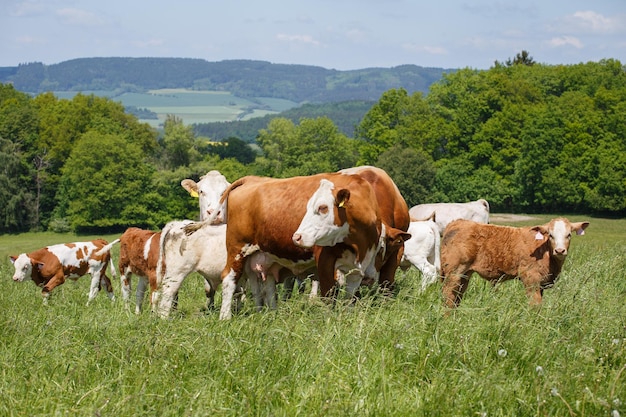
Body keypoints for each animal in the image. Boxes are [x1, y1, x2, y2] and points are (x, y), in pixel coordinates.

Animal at [436, 218, 588, 308]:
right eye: (550, 235)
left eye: (569, 235)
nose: (560, 250)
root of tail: (457, 222)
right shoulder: (531, 279)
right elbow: (535, 304)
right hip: (454, 272)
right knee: (448, 295)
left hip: (465, 274)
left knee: (456, 296)